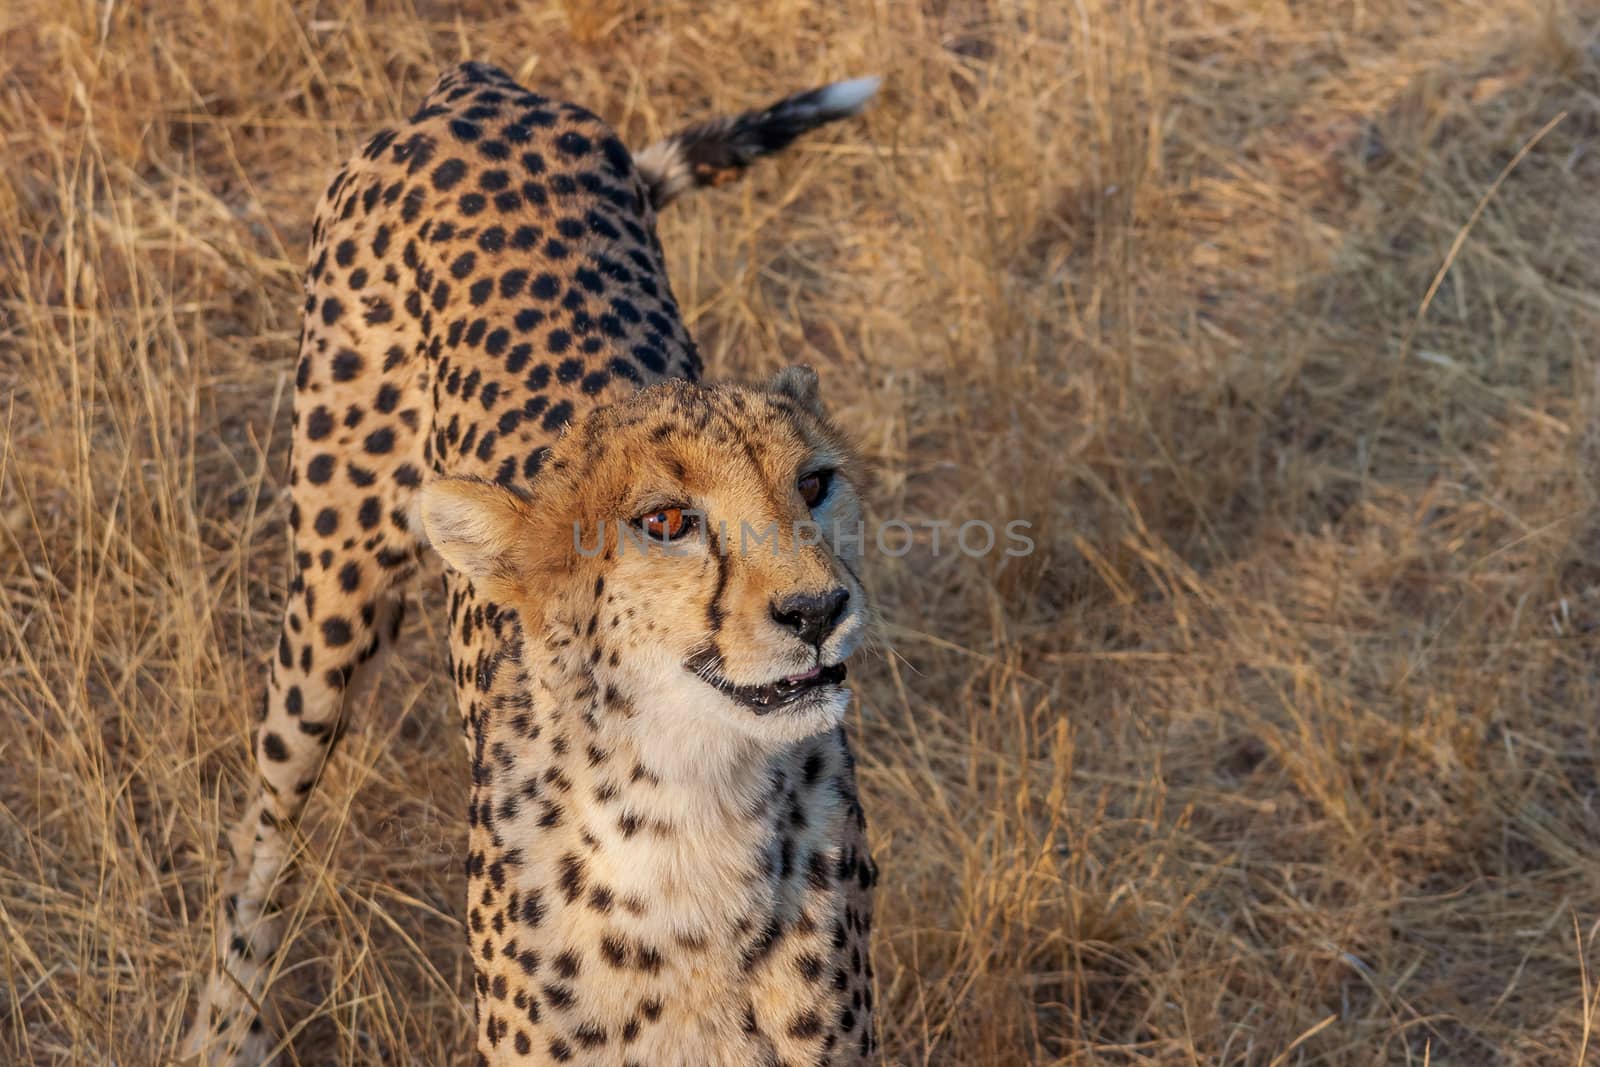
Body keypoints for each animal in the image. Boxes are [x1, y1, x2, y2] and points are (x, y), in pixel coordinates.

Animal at [188, 62, 889, 1062]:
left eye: (816, 483)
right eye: (667, 520)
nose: (818, 609)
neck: (693, 804)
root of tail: (478, 84)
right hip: (330, 597)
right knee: (263, 829)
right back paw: (226, 1026)